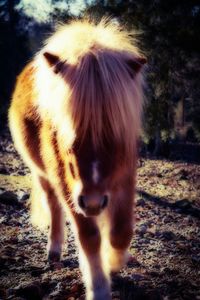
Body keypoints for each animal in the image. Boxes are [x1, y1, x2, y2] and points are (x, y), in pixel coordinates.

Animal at [8, 19, 146, 300]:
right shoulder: (69, 185)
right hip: (43, 174)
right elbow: (89, 236)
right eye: (67, 134)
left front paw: (113, 262)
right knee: (54, 207)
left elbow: (121, 231)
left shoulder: (125, 176)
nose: (93, 203)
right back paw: (54, 250)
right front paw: (99, 287)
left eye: (115, 135)